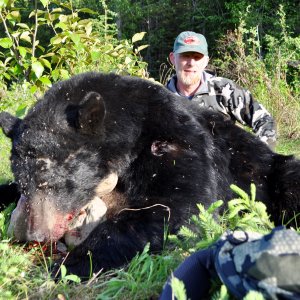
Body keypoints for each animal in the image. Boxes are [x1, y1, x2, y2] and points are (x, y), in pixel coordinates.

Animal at [0, 71, 298, 278]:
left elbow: (180, 209)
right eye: (23, 183)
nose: (35, 234)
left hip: (271, 172)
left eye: (48, 181)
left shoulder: (175, 138)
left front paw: (71, 263)